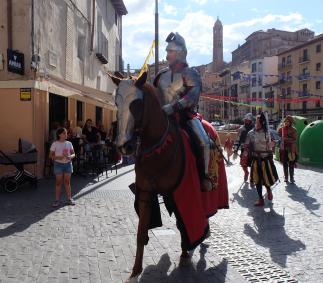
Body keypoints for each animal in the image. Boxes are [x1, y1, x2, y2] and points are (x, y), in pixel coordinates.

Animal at [110, 72, 227, 282]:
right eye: (117, 102)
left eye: (137, 103)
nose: (124, 146)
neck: (159, 149)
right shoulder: (146, 194)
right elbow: (141, 232)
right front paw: (135, 271)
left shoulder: (181, 191)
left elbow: (183, 224)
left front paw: (185, 255)